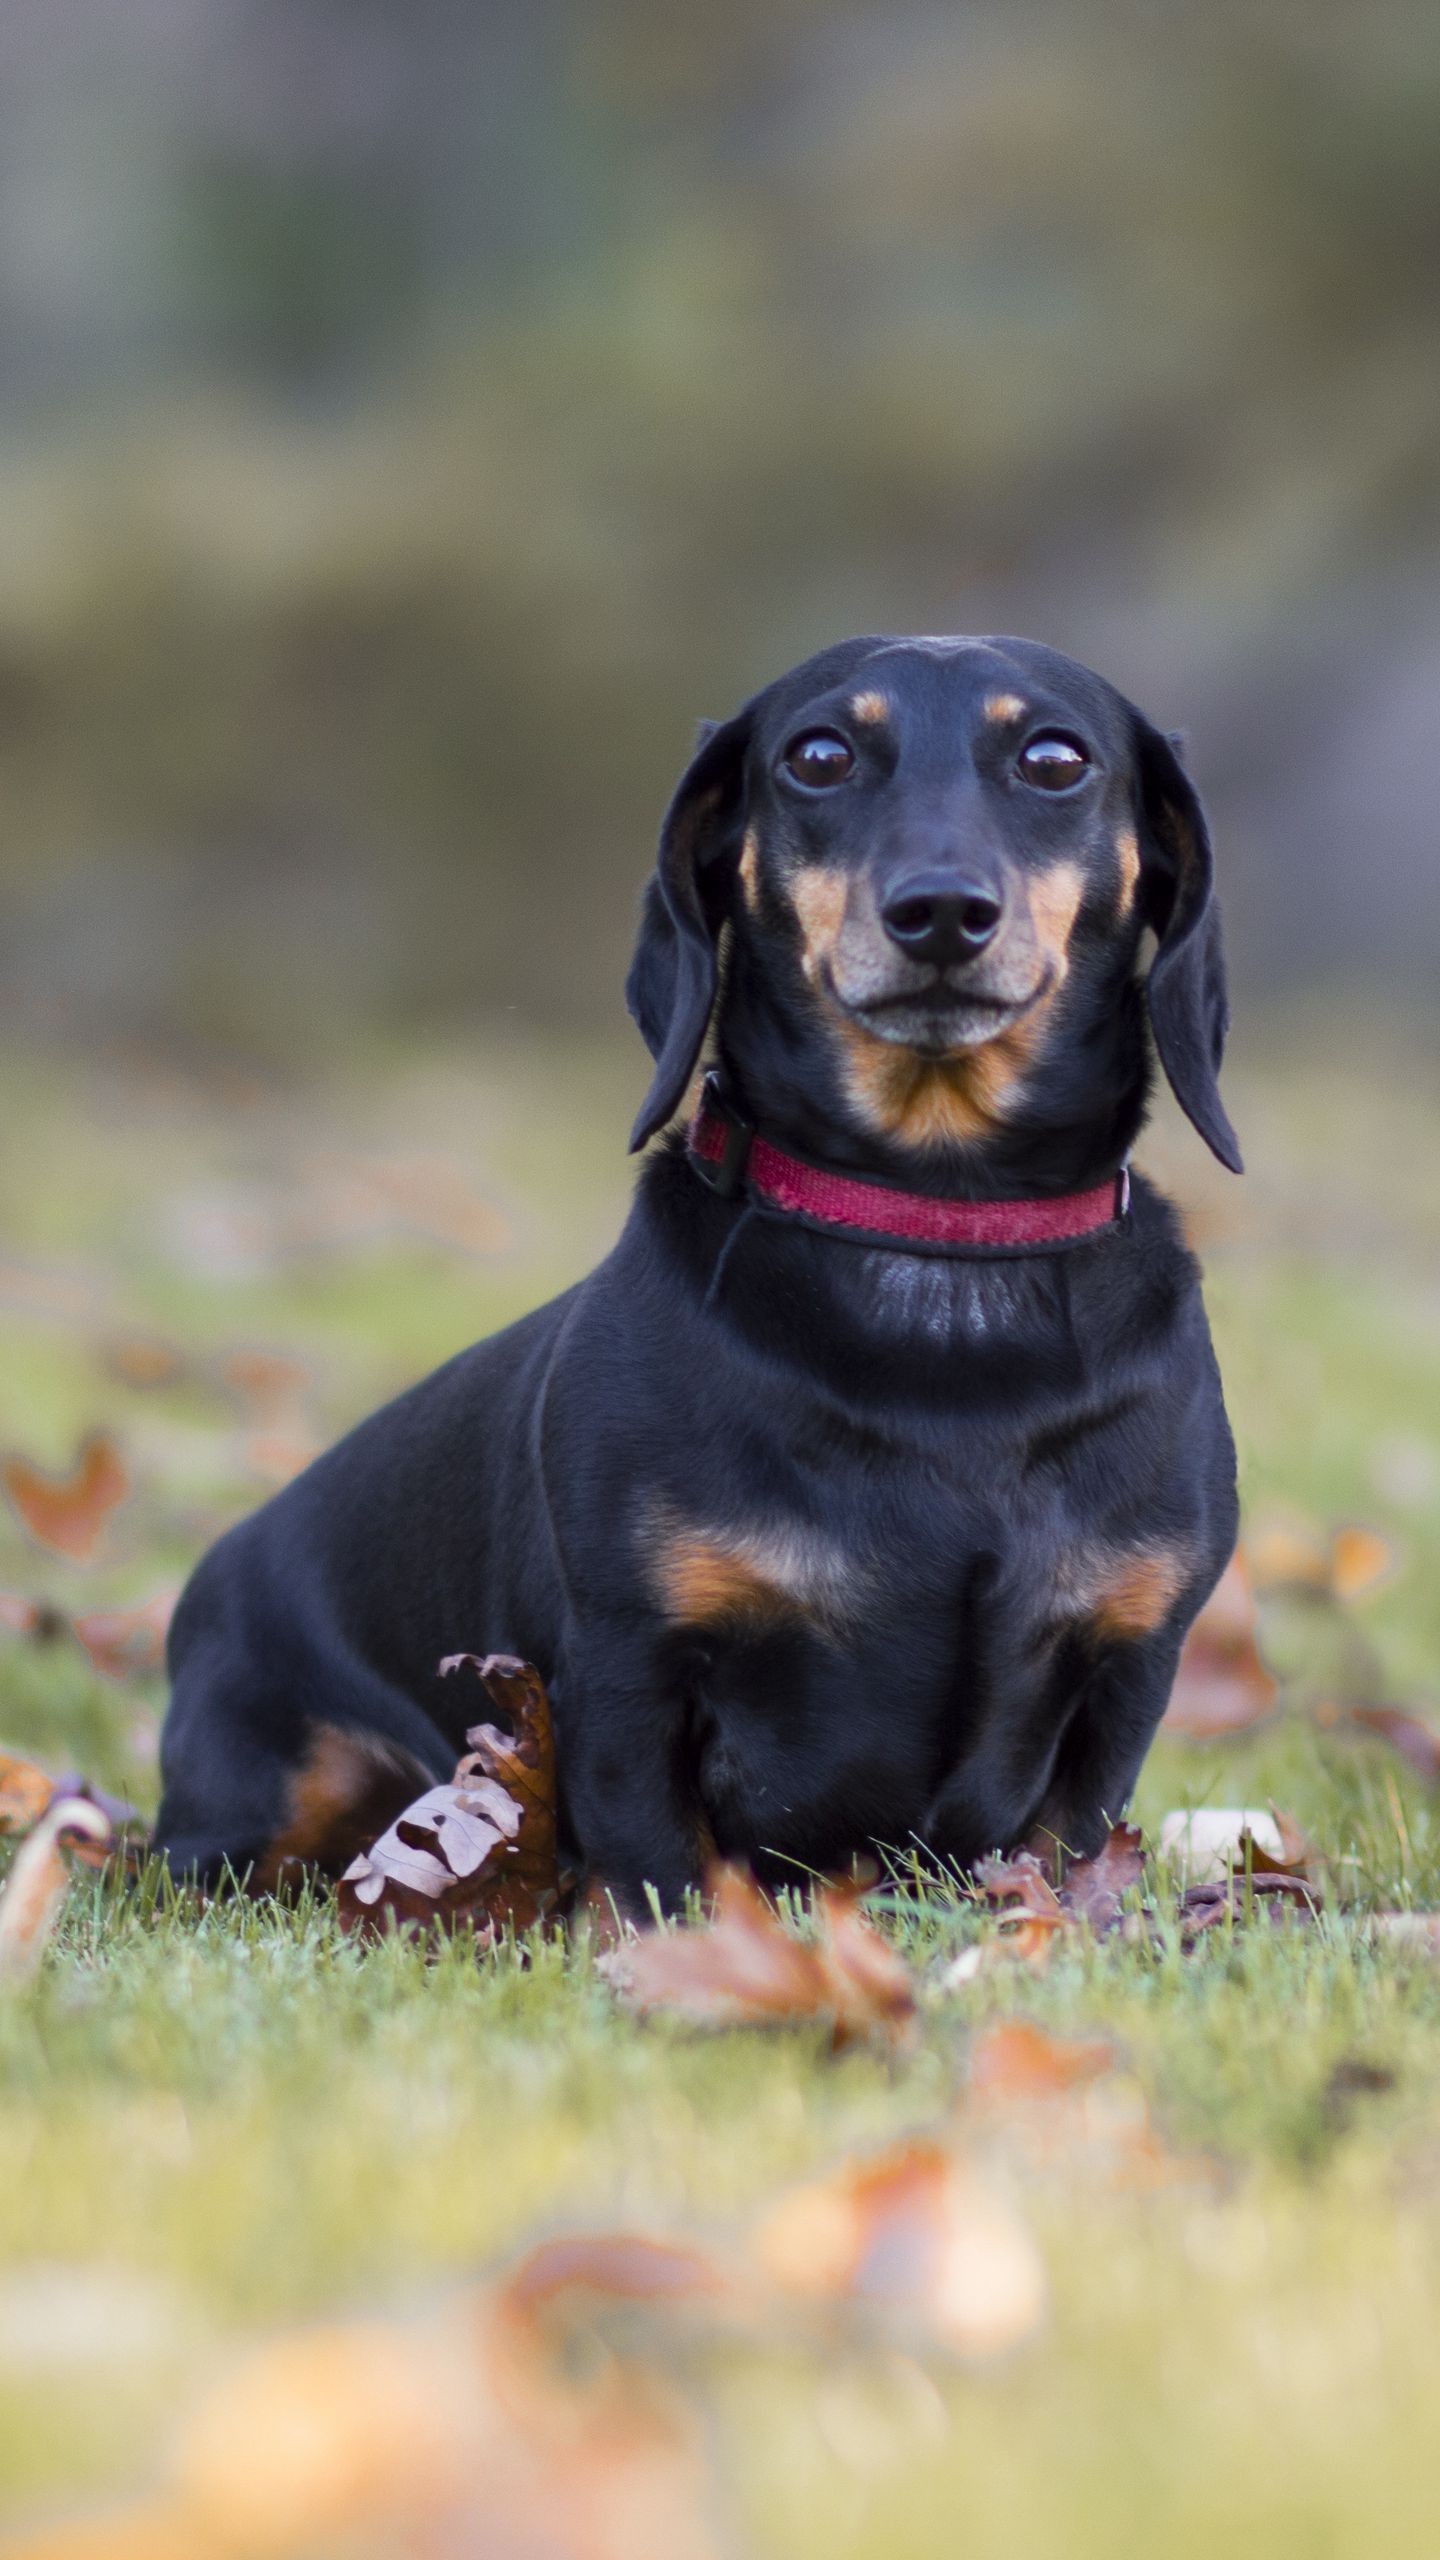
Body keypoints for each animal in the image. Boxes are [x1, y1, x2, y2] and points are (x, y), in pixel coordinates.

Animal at [154, 634, 1235, 1925]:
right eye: (817, 755)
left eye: (1056, 759)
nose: (939, 913)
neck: (934, 1232)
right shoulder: (631, 1663)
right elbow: (659, 1873)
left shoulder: (1128, 1667)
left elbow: (1062, 1848)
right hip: (266, 1788)